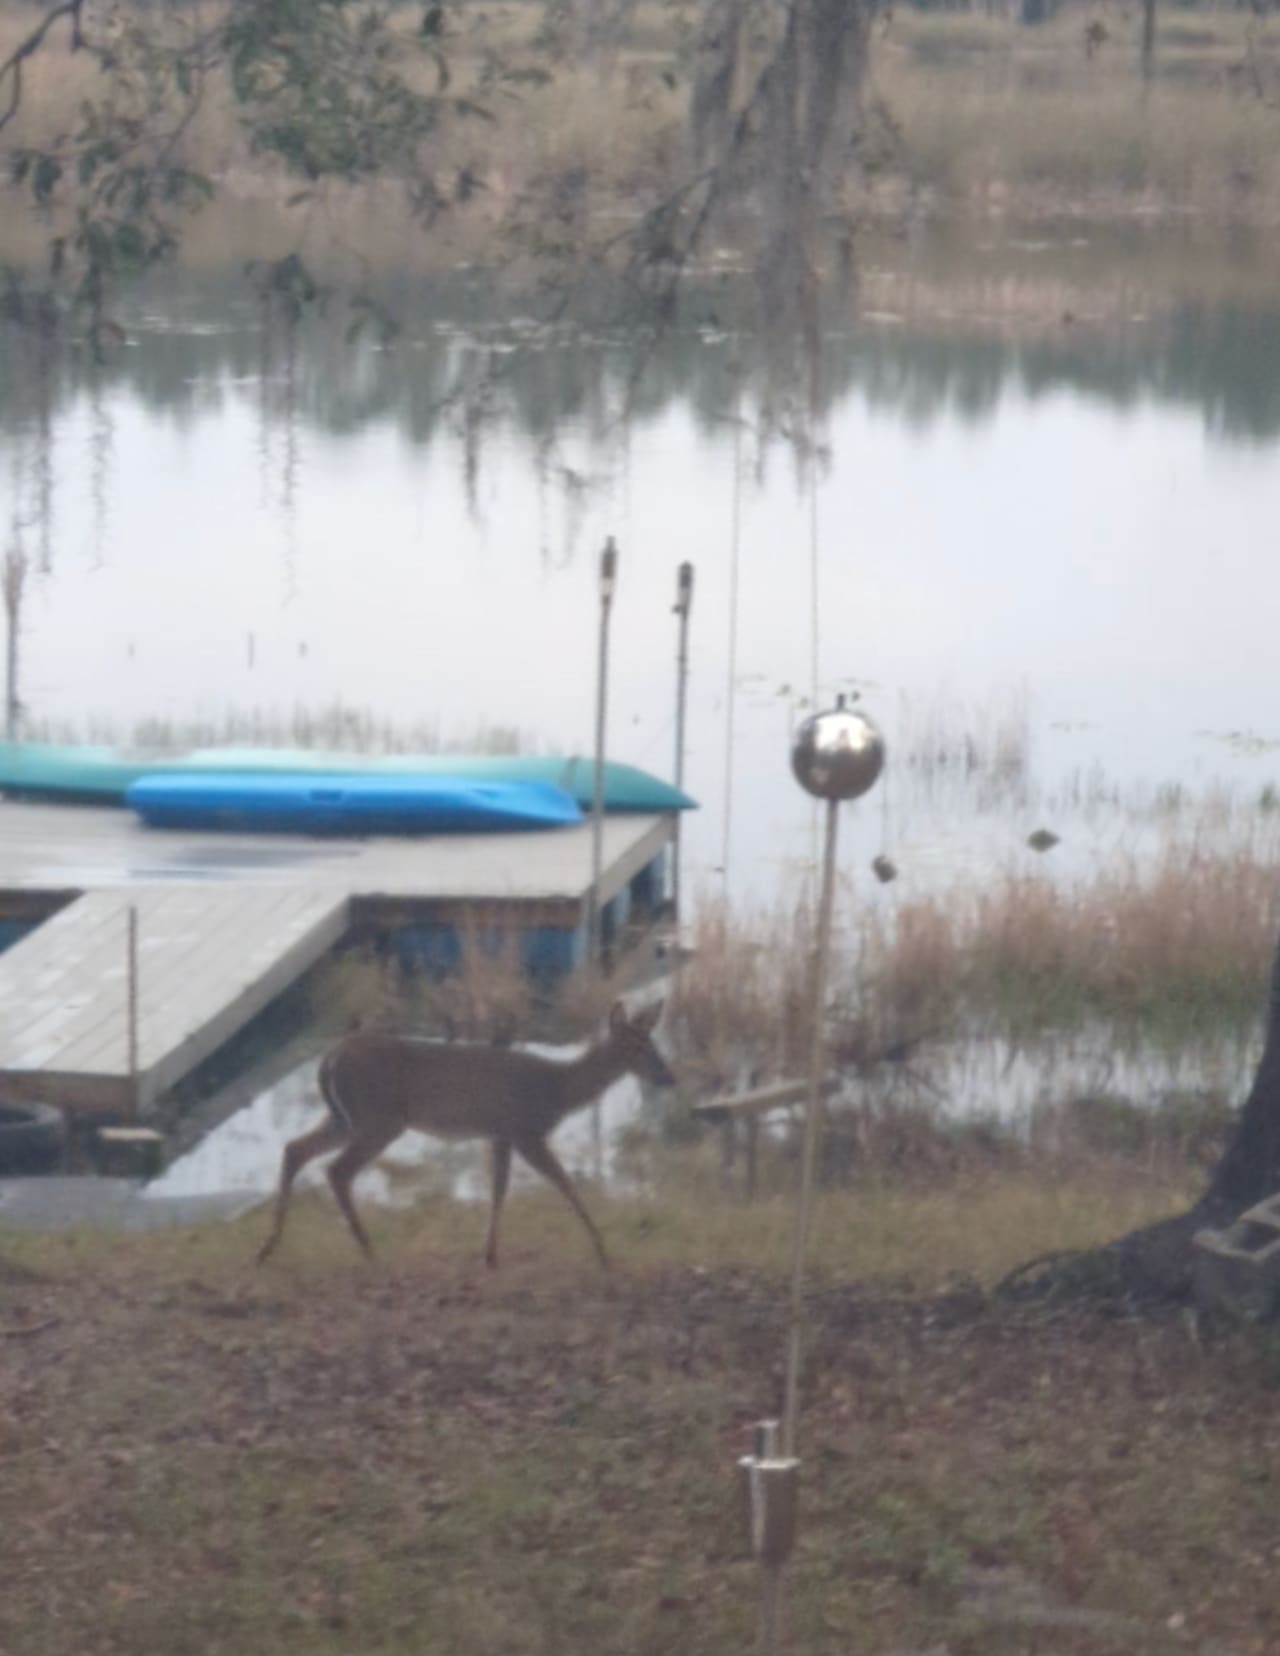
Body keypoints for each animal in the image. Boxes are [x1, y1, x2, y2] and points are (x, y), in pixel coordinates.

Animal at [255, 993, 675, 1265]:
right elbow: (565, 1183)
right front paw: (602, 1250)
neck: (557, 1088)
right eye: (636, 1047)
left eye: (653, 1042)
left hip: (345, 1118)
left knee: (295, 1149)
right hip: (379, 1118)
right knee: (337, 1170)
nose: (668, 1077)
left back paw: (269, 1248)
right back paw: (368, 1249)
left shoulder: (500, 1132)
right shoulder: (524, 1129)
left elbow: (499, 1189)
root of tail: (330, 1056)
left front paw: (489, 1254)